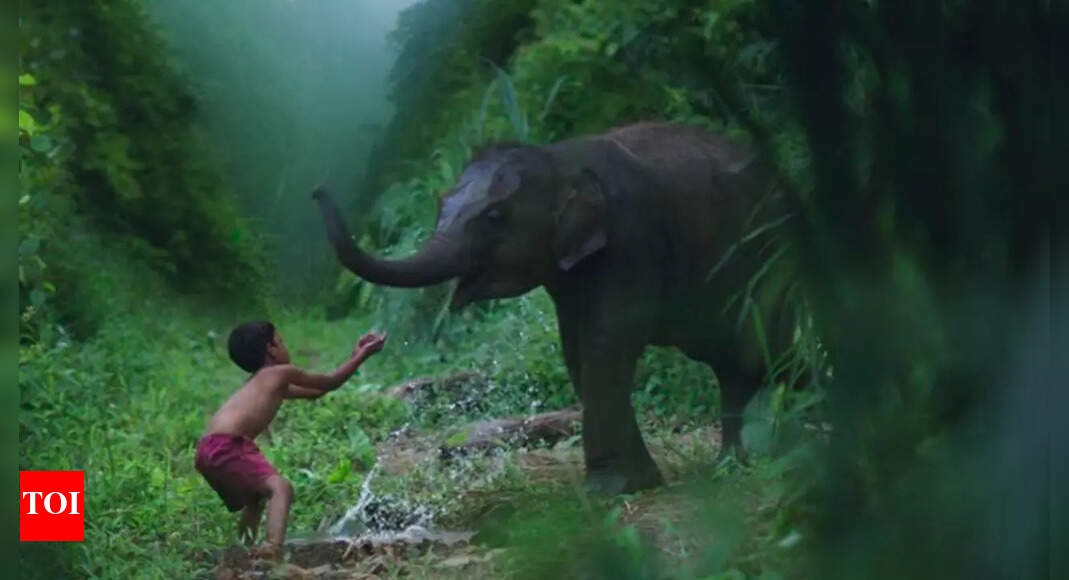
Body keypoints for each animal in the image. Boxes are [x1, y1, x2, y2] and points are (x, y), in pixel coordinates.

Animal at [312, 122, 797, 494]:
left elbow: (609, 341)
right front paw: (639, 481)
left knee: (763, 349)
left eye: (495, 217)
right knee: (736, 364)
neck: (560, 158)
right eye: (440, 204)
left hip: (768, 258)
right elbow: (577, 349)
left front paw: (612, 489)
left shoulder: (633, 241)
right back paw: (736, 463)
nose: (317, 188)